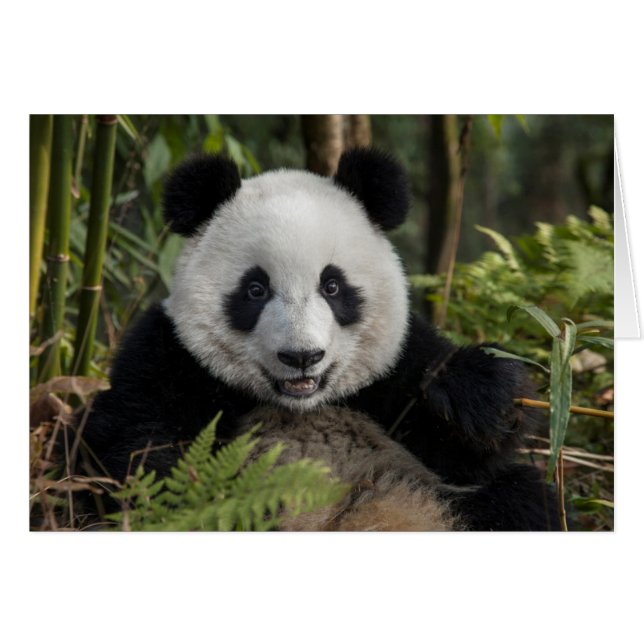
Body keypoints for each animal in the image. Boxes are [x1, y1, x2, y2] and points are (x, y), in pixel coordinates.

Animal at [82, 148, 560, 531]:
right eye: (255, 289)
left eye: (332, 286)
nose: (301, 356)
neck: (300, 404)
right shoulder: (170, 356)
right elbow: (138, 448)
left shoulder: (395, 368)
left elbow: (464, 452)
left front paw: (477, 395)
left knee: (520, 498)